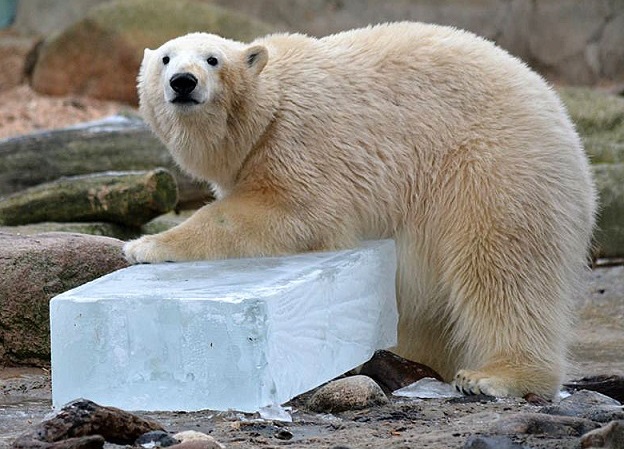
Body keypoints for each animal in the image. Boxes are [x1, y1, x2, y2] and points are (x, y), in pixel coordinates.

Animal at [124, 22, 596, 398]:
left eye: (213, 58)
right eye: (165, 58)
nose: (183, 82)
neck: (271, 104)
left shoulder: (301, 141)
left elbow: (290, 212)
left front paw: (145, 245)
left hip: (496, 170)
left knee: (504, 270)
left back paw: (493, 376)